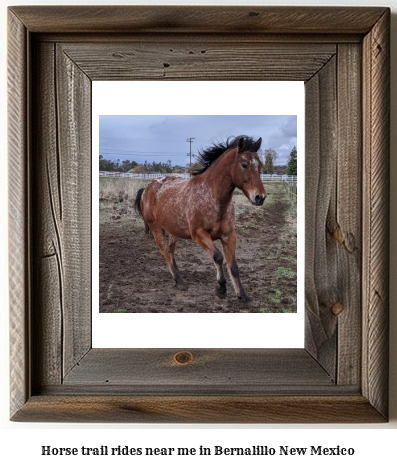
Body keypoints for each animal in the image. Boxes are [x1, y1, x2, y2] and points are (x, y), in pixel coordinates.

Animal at [134, 135, 266, 302]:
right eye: (244, 164)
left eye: (260, 166)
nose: (260, 197)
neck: (213, 198)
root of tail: (147, 188)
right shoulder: (199, 234)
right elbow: (218, 257)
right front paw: (221, 288)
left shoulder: (229, 236)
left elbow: (234, 266)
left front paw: (242, 295)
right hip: (156, 228)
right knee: (164, 251)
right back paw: (179, 281)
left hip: (172, 230)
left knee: (170, 250)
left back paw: (177, 274)